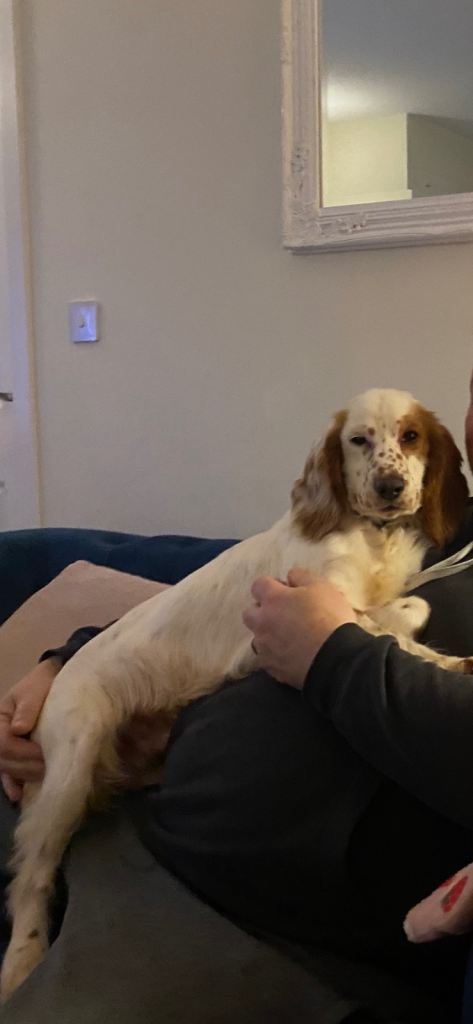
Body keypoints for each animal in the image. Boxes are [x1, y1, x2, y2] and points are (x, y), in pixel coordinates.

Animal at [1, 387, 472, 999]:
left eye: (411, 437)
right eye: (358, 440)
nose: (391, 487)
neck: (371, 537)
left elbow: (403, 611)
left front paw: (448, 658)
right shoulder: (277, 623)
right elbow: (388, 618)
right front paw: (438, 653)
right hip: (71, 766)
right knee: (30, 876)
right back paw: (21, 962)